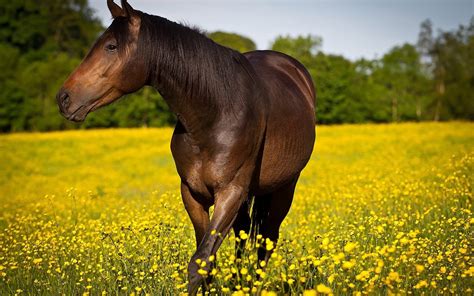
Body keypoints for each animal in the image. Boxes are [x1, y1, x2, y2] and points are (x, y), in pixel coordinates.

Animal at [56, 0, 314, 294]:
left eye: (111, 46)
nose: (63, 98)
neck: (214, 114)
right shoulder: (193, 193)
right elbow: (206, 262)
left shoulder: (230, 193)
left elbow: (200, 261)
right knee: (244, 233)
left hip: (285, 187)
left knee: (267, 239)